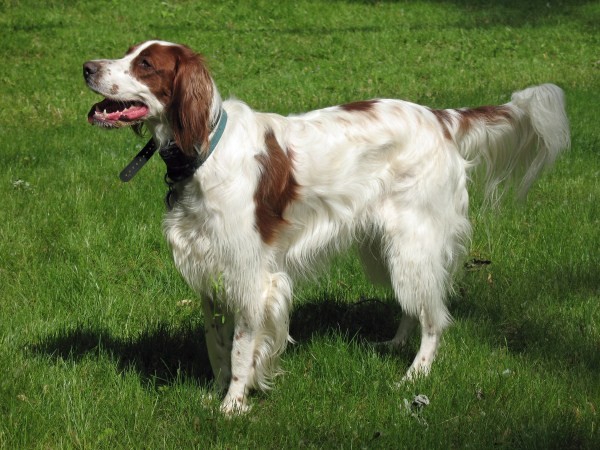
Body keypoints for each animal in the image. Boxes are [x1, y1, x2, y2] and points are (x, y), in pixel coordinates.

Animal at [82, 40, 568, 414]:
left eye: (146, 65)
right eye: (127, 52)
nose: (87, 67)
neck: (202, 150)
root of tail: (441, 117)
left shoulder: (251, 277)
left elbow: (240, 350)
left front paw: (233, 406)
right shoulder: (207, 270)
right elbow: (215, 343)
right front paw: (216, 394)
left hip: (413, 240)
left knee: (435, 317)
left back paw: (414, 375)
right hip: (384, 246)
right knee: (415, 304)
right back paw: (394, 346)